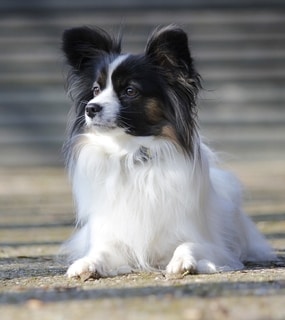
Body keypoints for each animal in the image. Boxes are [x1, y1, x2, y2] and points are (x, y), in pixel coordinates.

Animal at [61, 25, 274, 278]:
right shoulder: (113, 240)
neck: (132, 154)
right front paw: (85, 264)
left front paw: (183, 261)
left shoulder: (213, 246)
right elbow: (100, 252)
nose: (91, 108)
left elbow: (188, 245)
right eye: (95, 89)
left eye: (130, 90)